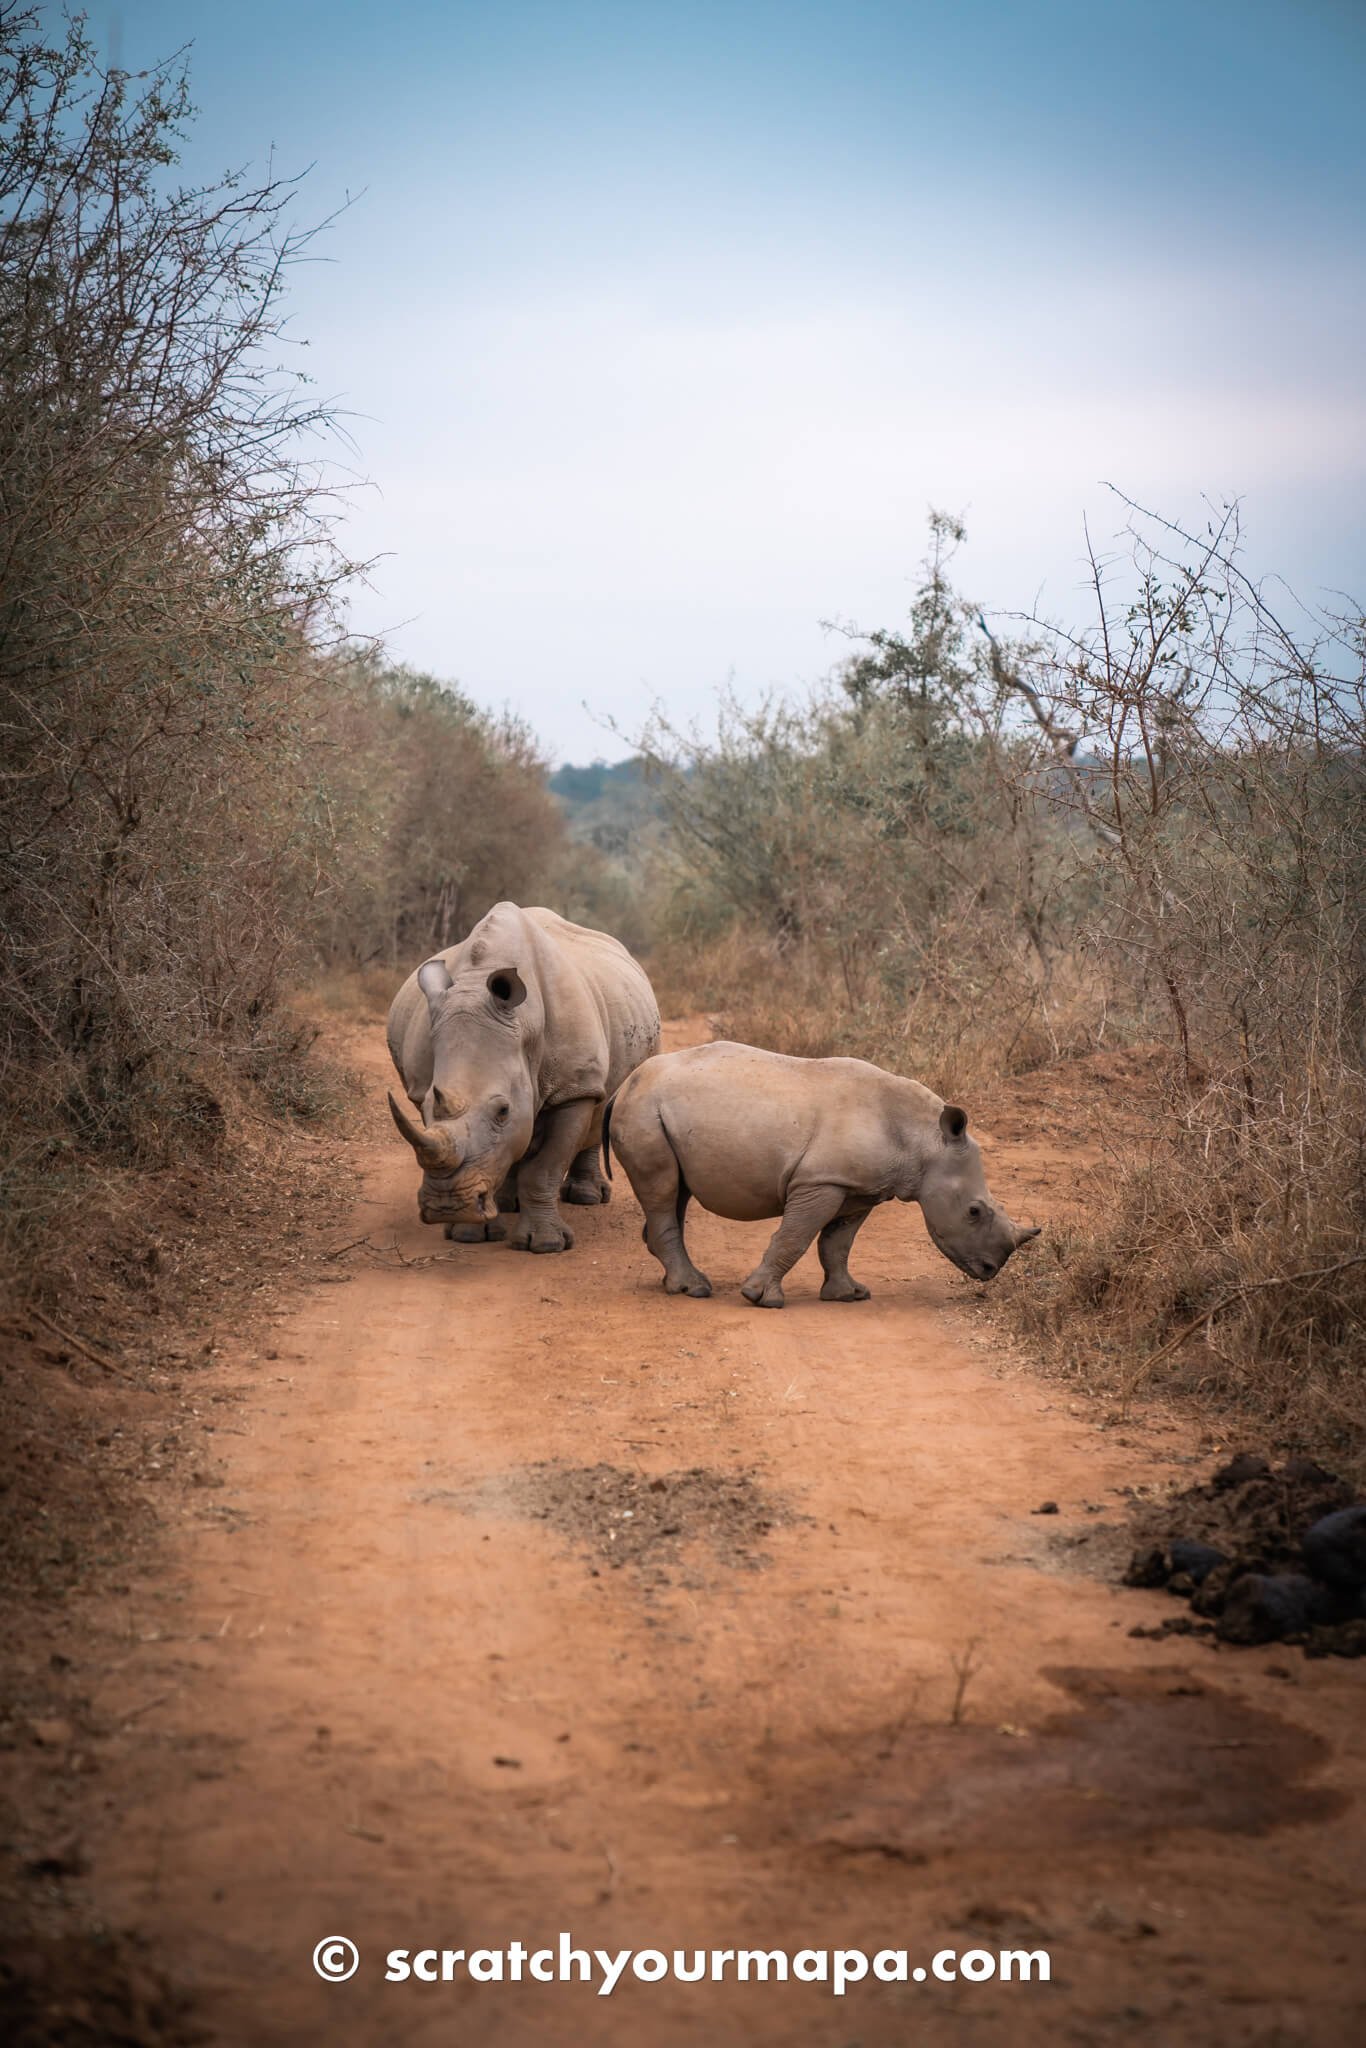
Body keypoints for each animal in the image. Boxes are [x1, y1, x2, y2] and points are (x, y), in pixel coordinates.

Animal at [385, 909, 663, 1245]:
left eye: (502, 1111)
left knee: (601, 1102)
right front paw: (469, 1233)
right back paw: (508, 1203)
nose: (446, 1206)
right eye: (424, 1107)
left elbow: (546, 1166)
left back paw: (586, 1198)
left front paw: (546, 1244)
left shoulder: (573, 1088)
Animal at [602, 1040, 1040, 1310]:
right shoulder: (820, 1181)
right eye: (974, 1211)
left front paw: (850, 1295)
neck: (925, 1140)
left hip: (658, 1110)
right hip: (644, 1109)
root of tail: (624, 1084)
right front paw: (761, 1298)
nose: (990, 1270)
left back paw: (676, 1281)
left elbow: (837, 1243)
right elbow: (795, 1236)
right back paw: (694, 1290)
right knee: (662, 1191)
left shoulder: (859, 1187)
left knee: (676, 1193)